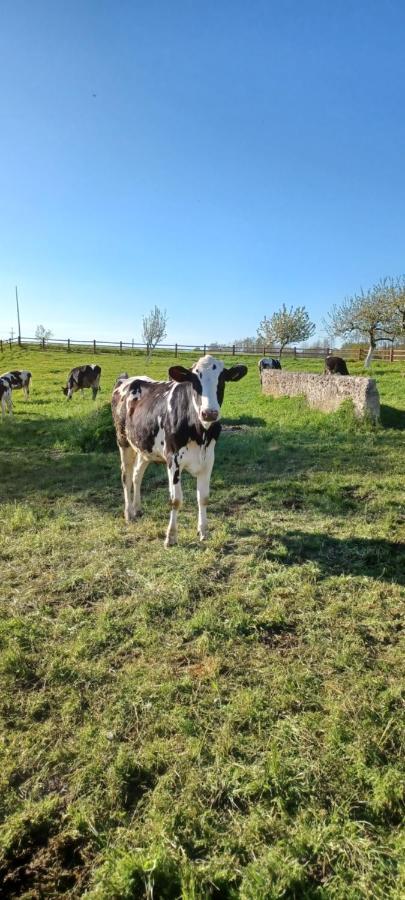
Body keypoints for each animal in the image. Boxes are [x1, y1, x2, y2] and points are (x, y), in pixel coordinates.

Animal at [112, 356, 248, 544]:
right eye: (194, 381)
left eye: (221, 380)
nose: (209, 413)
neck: (200, 433)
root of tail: (127, 379)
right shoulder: (173, 460)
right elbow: (176, 500)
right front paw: (171, 536)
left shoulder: (209, 460)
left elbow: (203, 498)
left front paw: (203, 531)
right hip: (123, 441)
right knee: (126, 476)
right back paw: (128, 513)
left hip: (145, 447)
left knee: (137, 475)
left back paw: (137, 509)